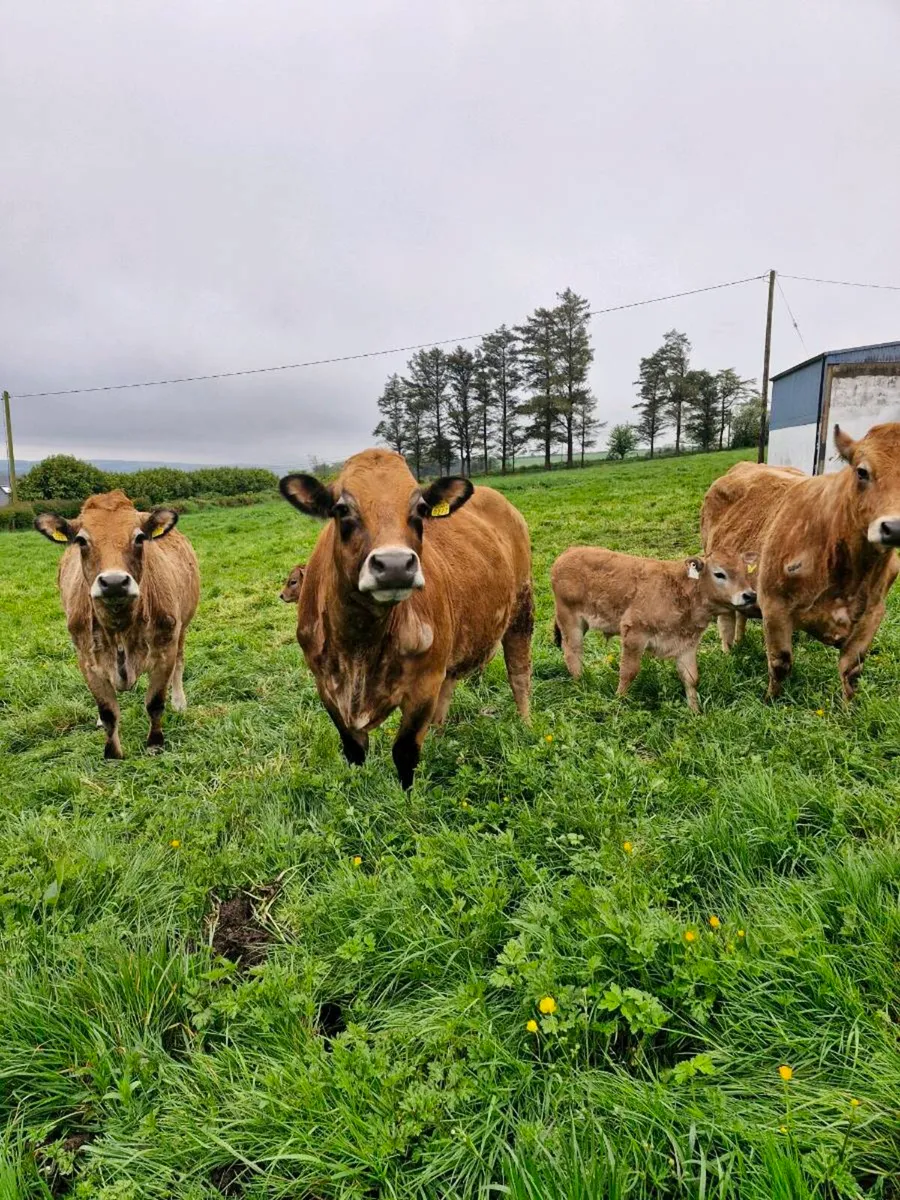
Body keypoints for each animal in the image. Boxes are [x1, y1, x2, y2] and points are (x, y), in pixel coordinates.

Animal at [34, 490, 200, 759]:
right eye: (81, 540)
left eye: (140, 537)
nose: (113, 582)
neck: (120, 628)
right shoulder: (87, 660)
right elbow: (108, 712)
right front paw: (112, 754)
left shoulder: (166, 650)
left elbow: (155, 703)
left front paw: (155, 743)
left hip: (183, 628)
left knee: (180, 662)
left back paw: (179, 702)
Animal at [279, 448, 532, 789]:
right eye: (341, 509)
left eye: (421, 509)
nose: (395, 565)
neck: (360, 641)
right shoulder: (325, 686)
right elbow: (354, 750)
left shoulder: (423, 685)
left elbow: (405, 752)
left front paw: (408, 798)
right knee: (449, 689)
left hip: (522, 607)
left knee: (519, 673)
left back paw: (526, 725)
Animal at [551, 545, 754, 711]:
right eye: (719, 574)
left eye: (745, 571)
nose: (749, 595)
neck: (681, 591)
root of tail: (567, 554)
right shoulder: (634, 634)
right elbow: (628, 672)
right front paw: (619, 701)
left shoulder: (687, 644)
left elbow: (691, 678)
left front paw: (695, 712)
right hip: (570, 621)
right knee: (572, 653)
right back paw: (581, 684)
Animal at [756, 423, 900, 701]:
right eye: (862, 472)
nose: (895, 528)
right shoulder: (773, 602)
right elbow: (780, 662)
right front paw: (770, 702)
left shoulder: (874, 613)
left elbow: (851, 671)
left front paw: (849, 709)